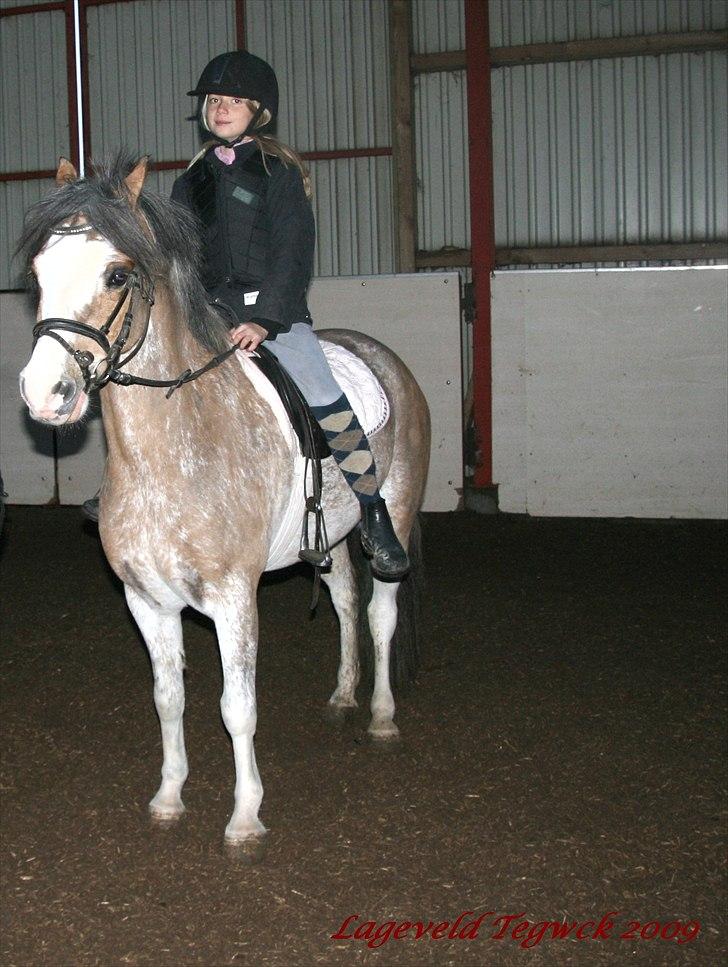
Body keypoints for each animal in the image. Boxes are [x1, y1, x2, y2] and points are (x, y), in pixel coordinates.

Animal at [17, 155, 431, 844]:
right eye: (38, 274)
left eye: (116, 273)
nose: (45, 393)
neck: (172, 455)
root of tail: (384, 356)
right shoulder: (146, 600)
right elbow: (169, 698)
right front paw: (168, 796)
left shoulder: (235, 599)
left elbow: (237, 707)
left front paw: (245, 816)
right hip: (331, 534)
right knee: (346, 601)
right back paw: (343, 696)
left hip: (392, 512)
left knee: (379, 612)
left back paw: (379, 715)